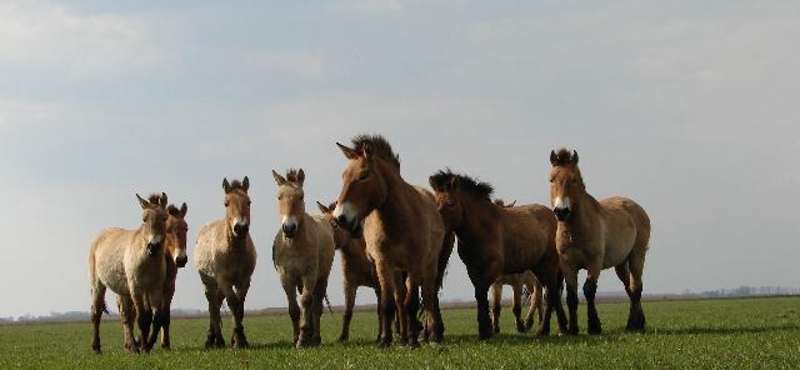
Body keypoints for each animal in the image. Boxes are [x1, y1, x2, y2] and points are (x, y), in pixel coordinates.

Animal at [87, 191, 169, 352]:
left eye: (164, 218)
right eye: (144, 219)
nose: (153, 246)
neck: (147, 260)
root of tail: (100, 235)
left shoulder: (155, 288)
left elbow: (156, 318)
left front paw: (148, 345)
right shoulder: (136, 288)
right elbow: (143, 319)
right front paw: (144, 347)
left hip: (123, 291)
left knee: (125, 316)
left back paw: (132, 346)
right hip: (98, 285)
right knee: (96, 312)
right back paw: (97, 347)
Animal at [194, 178, 256, 348]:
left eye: (248, 202)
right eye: (226, 203)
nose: (240, 228)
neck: (234, 251)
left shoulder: (244, 280)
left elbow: (240, 306)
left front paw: (239, 338)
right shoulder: (224, 280)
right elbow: (233, 303)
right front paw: (238, 339)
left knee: (216, 302)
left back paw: (214, 338)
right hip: (209, 283)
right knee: (213, 307)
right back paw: (216, 340)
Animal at [270, 169, 336, 348]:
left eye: (301, 196)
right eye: (279, 197)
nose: (289, 228)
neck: (293, 245)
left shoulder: (310, 274)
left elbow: (306, 302)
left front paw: (302, 338)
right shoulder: (286, 277)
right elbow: (293, 308)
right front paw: (296, 338)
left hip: (322, 277)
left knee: (317, 305)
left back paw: (315, 338)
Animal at [432, 170, 568, 338]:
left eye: (450, 203)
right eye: (435, 203)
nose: (435, 227)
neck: (482, 228)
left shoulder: (494, 267)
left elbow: (482, 292)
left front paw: (485, 330)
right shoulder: (473, 269)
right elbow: (483, 296)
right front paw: (488, 328)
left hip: (548, 265)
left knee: (548, 295)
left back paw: (543, 330)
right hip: (539, 268)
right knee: (552, 293)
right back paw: (563, 328)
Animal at [548, 148, 652, 336]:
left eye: (574, 179)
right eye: (551, 180)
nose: (561, 211)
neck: (576, 230)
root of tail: (637, 208)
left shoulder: (594, 263)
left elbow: (589, 291)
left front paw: (594, 326)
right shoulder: (567, 265)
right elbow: (571, 296)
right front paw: (572, 329)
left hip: (637, 257)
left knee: (636, 288)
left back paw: (632, 325)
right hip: (620, 264)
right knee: (630, 288)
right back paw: (639, 323)